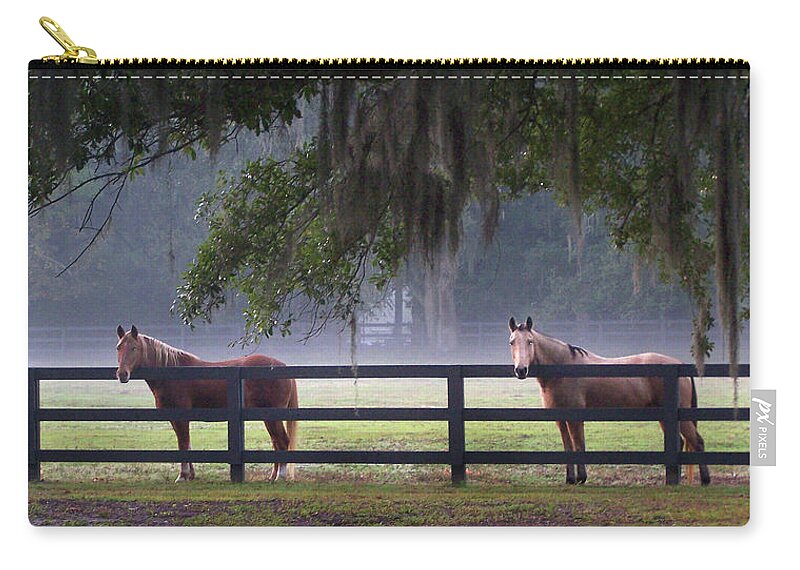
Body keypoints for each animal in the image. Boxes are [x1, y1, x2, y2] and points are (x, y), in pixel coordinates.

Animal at [114, 324, 298, 480]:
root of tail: (281, 365)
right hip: (268, 418)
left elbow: (183, 443)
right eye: (118, 347)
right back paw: (273, 476)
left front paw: (182, 476)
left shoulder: (181, 417)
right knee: (276, 443)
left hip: (272, 417)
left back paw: (280, 476)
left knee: (283, 441)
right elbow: (187, 444)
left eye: (134, 348)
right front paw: (190, 475)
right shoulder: (174, 418)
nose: (122, 374)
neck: (173, 373)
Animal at [510, 316, 708, 484]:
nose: (521, 370)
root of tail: (679, 365)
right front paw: (570, 479)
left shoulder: (575, 418)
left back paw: (705, 480)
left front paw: (581, 478)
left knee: (697, 441)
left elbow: (578, 445)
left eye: (530, 341)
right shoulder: (560, 418)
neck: (563, 368)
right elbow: (568, 447)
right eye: (512, 342)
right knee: (680, 443)